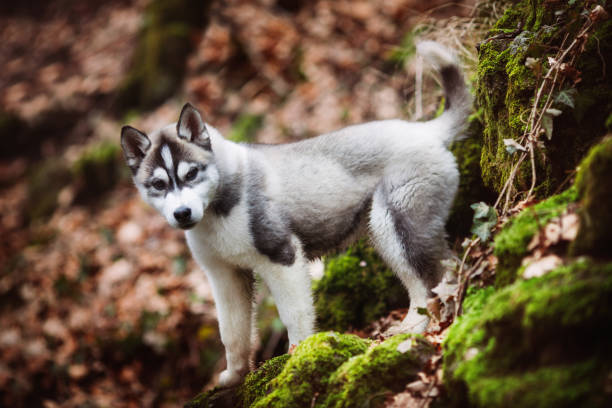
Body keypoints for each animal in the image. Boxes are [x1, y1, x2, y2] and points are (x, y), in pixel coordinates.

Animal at [122, 42, 470, 388]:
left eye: (191, 173)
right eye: (158, 185)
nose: (182, 214)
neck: (218, 208)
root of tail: (425, 130)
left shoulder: (282, 257)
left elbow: (294, 315)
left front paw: (298, 358)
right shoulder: (224, 276)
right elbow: (232, 333)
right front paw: (235, 376)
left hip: (396, 223)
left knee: (435, 277)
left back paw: (417, 328)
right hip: (385, 230)